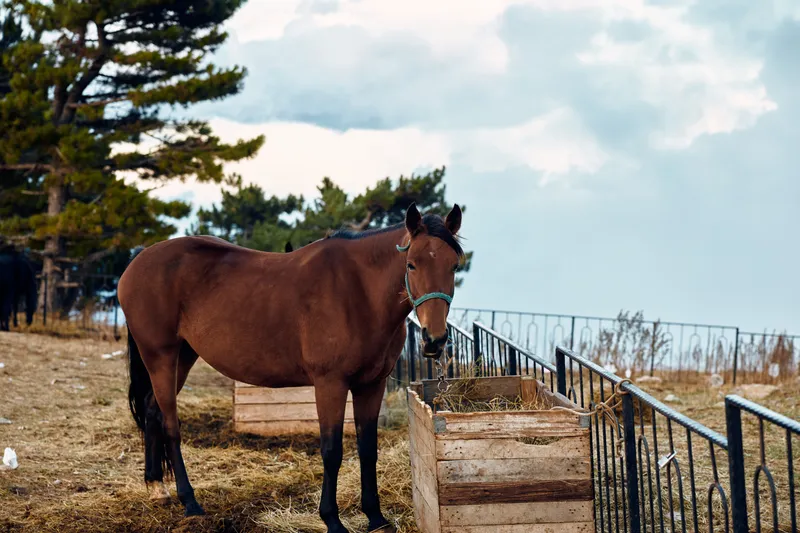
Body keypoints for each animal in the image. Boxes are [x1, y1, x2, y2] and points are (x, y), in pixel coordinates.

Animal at [118, 203, 464, 533]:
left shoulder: (371, 385)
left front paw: (376, 518)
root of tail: (137, 262)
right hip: (161, 356)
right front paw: (332, 520)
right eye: (411, 264)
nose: (434, 339)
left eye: (453, 265)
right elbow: (332, 450)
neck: (358, 291)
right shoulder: (330, 384)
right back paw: (189, 501)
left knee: (152, 411)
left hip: (183, 356)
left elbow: (368, 449)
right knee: (170, 424)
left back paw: (157, 487)